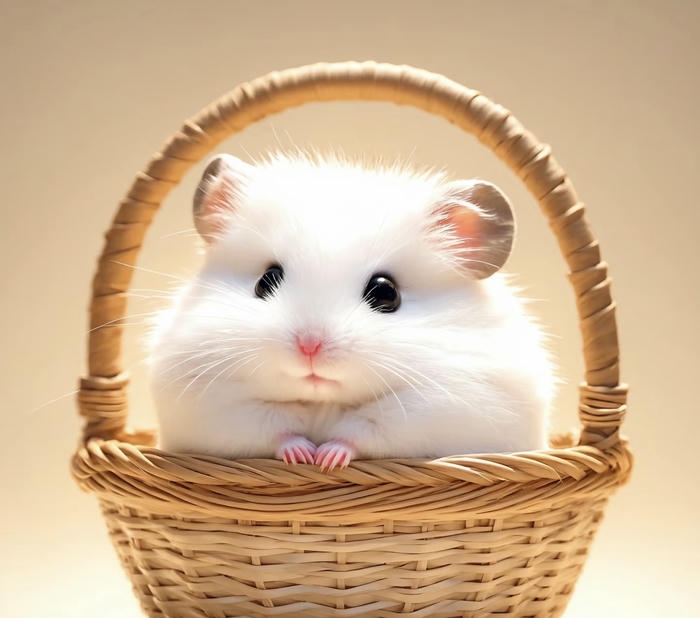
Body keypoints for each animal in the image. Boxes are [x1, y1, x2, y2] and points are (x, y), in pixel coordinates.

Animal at [149, 152, 554, 470]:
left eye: (386, 293)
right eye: (266, 280)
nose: (309, 346)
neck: (323, 402)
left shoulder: (444, 406)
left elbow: (364, 429)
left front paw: (328, 458)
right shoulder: (207, 401)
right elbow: (273, 426)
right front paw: (303, 455)